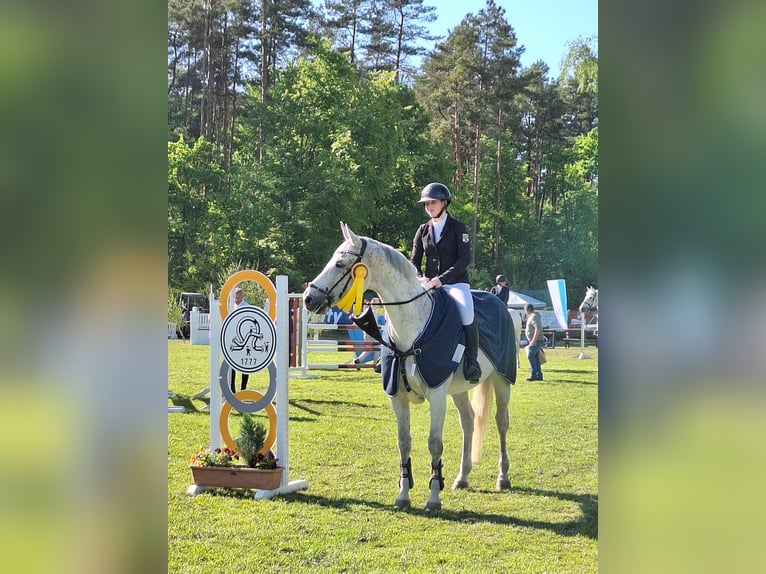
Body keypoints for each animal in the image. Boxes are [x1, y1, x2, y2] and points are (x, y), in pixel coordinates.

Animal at [303, 222, 516, 511]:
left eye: (339, 263)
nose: (308, 298)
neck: (411, 326)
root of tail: (502, 305)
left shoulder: (437, 394)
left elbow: (434, 444)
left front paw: (433, 499)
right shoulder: (398, 397)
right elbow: (403, 443)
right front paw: (403, 495)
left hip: (502, 380)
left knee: (501, 422)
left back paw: (502, 478)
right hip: (459, 389)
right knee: (468, 422)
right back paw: (462, 477)